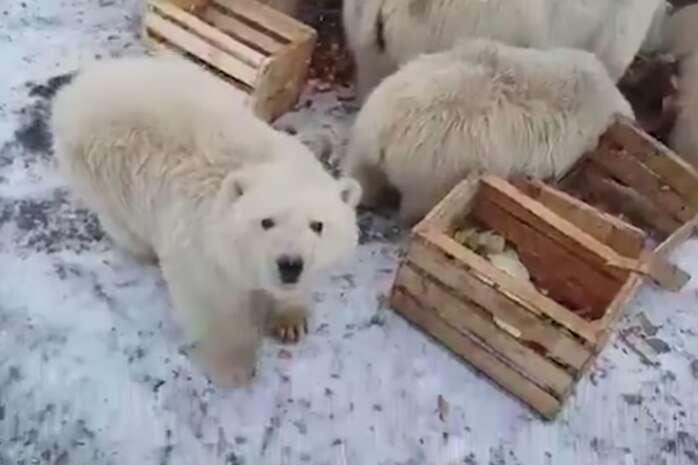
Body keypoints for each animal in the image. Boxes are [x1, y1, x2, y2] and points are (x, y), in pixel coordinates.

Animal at [51, 54, 362, 387]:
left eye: (318, 225)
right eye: (266, 221)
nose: (290, 265)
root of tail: (76, 87)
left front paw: (290, 321)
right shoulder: (198, 239)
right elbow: (212, 301)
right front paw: (235, 365)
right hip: (101, 171)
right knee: (122, 220)